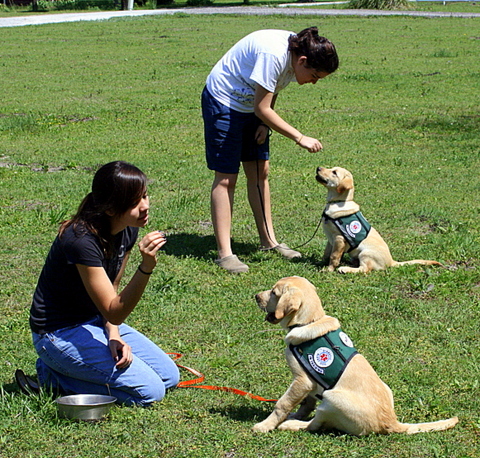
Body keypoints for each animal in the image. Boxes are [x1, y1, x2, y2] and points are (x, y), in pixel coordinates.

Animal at [251, 278, 458, 434]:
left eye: (274, 293)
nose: (256, 297)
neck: (310, 321)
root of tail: (391, 422)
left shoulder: (302, 380)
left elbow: (282, 404)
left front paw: (265, 425)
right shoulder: (311, 383)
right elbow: (307, 403)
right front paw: (296, 414)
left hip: (331, 397)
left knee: (315, 425)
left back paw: (291, 425)